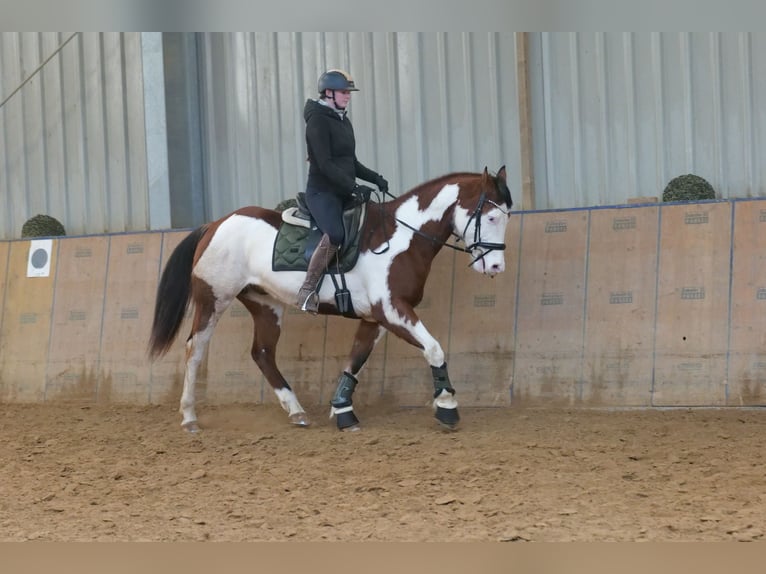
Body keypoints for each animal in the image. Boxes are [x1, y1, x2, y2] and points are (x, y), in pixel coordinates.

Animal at [148, 166, 513, 432]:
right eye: (491, 217)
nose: (496, 266)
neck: (402, 238)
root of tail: (215, 224)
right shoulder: (392, 310)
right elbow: (434, 348)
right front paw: (447, 406)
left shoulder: (375, 317)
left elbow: (355, 360)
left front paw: (342, 410)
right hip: (214, 299)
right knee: (195, 349)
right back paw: (190, 417)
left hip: (265, 304)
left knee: (262, 353)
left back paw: (296, 411)